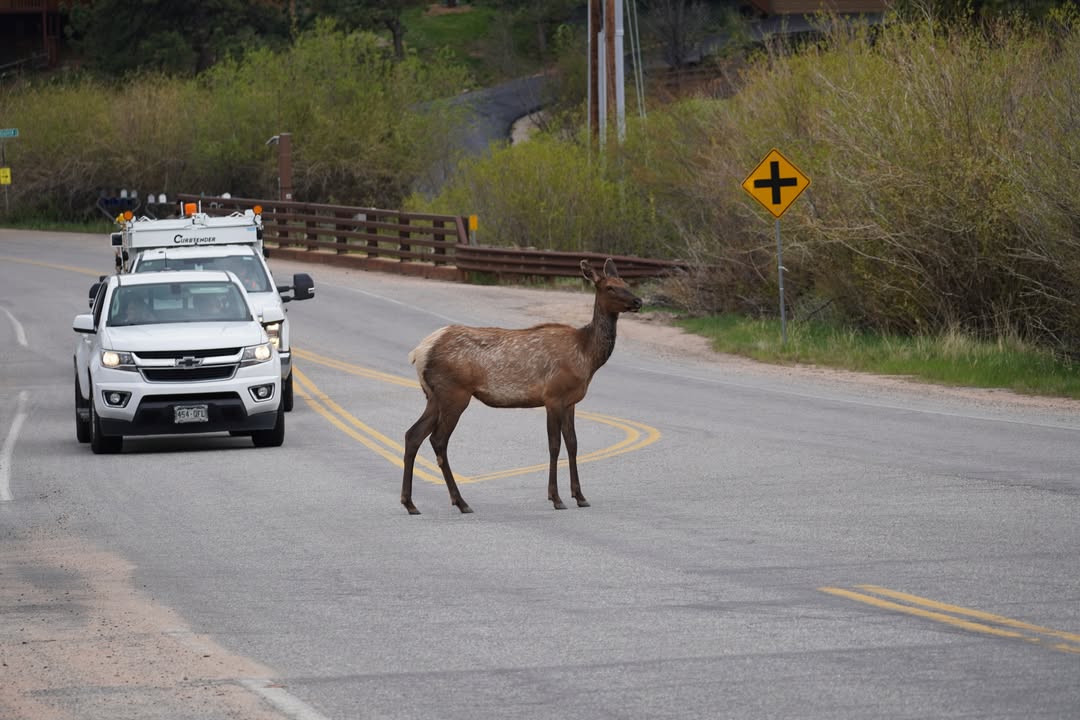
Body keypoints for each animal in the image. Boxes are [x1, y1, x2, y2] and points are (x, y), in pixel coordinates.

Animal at [401, 258, 643, 515]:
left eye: (626, 283)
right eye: (610, 287)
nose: (639, 301)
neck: (587, 357)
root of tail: (419, 352)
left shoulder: (571, 401)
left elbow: (573, 444)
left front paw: (580, 496)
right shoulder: (553, 396)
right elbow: (554, 445)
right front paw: (556, 498)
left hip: (433, 396)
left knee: (413, 435)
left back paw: (410, 503)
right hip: (454, 393)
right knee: (438, 440)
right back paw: (461, 502)